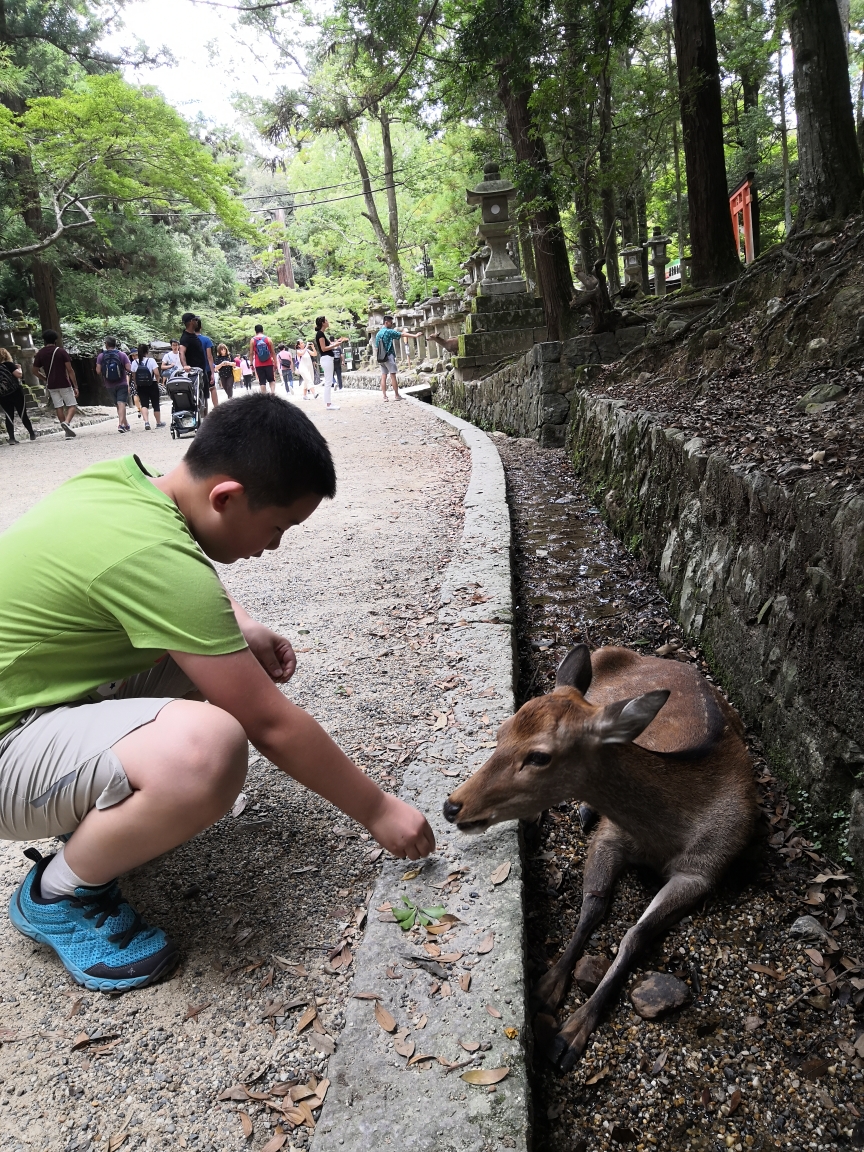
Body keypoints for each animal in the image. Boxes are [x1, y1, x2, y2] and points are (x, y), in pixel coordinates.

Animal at [446, 645, 755, 1073]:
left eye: (539, 756)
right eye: (500, 732)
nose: (451, 806)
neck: (665, 836)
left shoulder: (705, 870)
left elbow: (635, 935)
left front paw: (571, 1034)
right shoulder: (611, 836)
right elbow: (591, 904)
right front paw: (545, 988)